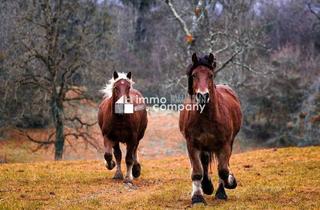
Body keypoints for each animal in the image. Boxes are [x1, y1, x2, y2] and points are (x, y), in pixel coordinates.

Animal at [179, 53, 241, 205]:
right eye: (194, 75)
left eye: (210, 75)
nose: (203, 96)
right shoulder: (192, 144)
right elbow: (197, 171)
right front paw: (197, 197)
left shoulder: (224, 144)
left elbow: (223, 170)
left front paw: (226, 187)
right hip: (204, 145)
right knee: (205, 162)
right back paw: (206, 186)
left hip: (228, 143)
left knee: (221, 164)